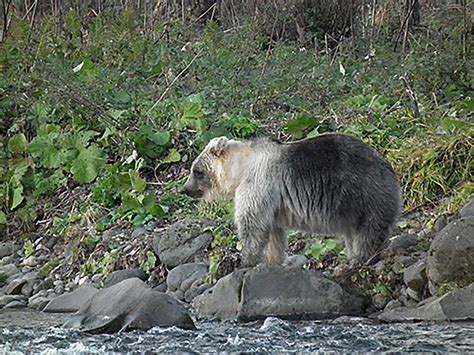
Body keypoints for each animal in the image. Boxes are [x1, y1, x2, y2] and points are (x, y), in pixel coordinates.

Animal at [183, 135, 402, 268]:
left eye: (197, 171)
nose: (185, 189)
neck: (242, 168)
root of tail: (388, 166)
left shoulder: (258, 185)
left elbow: (252, 225)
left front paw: (245, 261)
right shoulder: (272, 204)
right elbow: (274, 233)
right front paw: (272, 261)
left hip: (366, 195)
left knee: (368, 233)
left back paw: (362, 259)